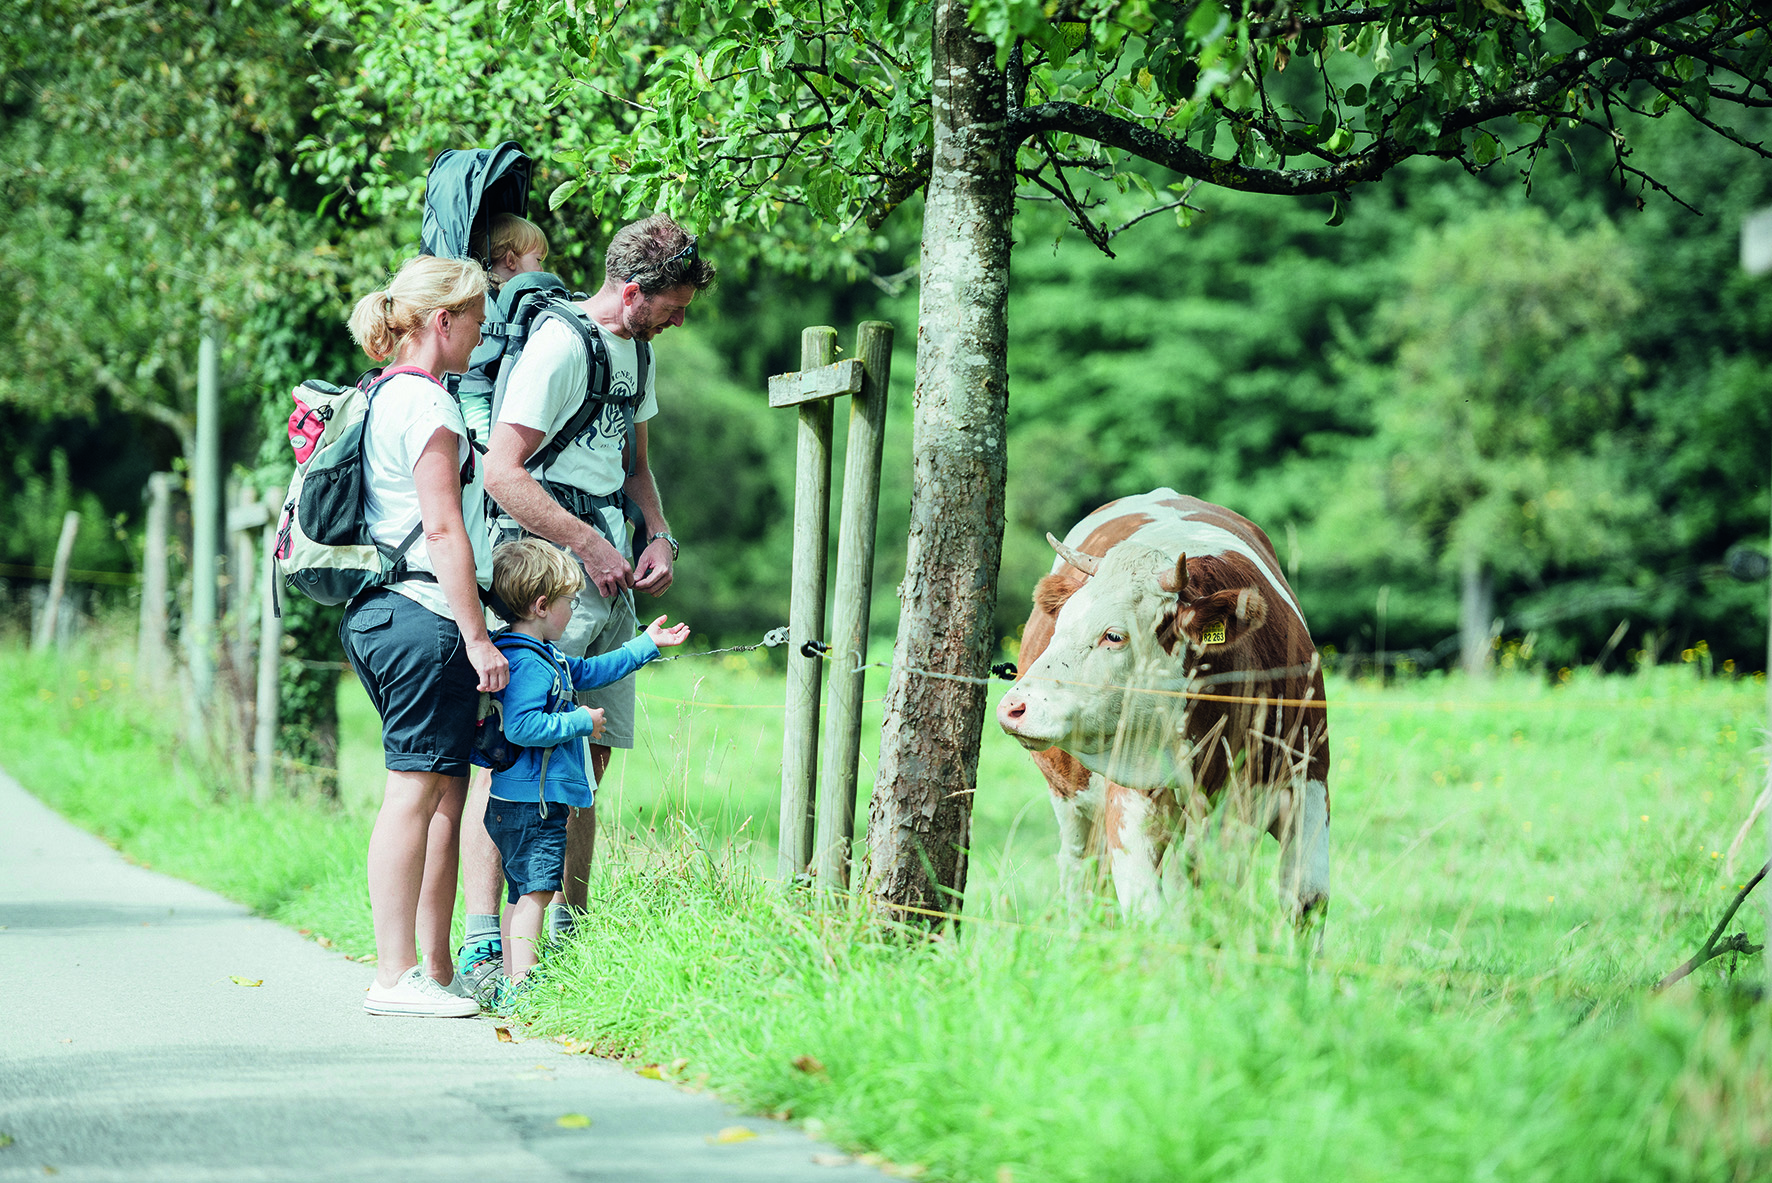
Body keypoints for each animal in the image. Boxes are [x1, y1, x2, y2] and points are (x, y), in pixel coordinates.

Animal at [999, 488, 1332, 920]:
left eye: (1114, 635)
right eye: (1061, 622)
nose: (1014, 707)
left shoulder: (1310, 783)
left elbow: (1307, 901)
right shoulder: (1132, 803)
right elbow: (1148, 913)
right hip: (1072, 807)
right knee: (1081, 878)